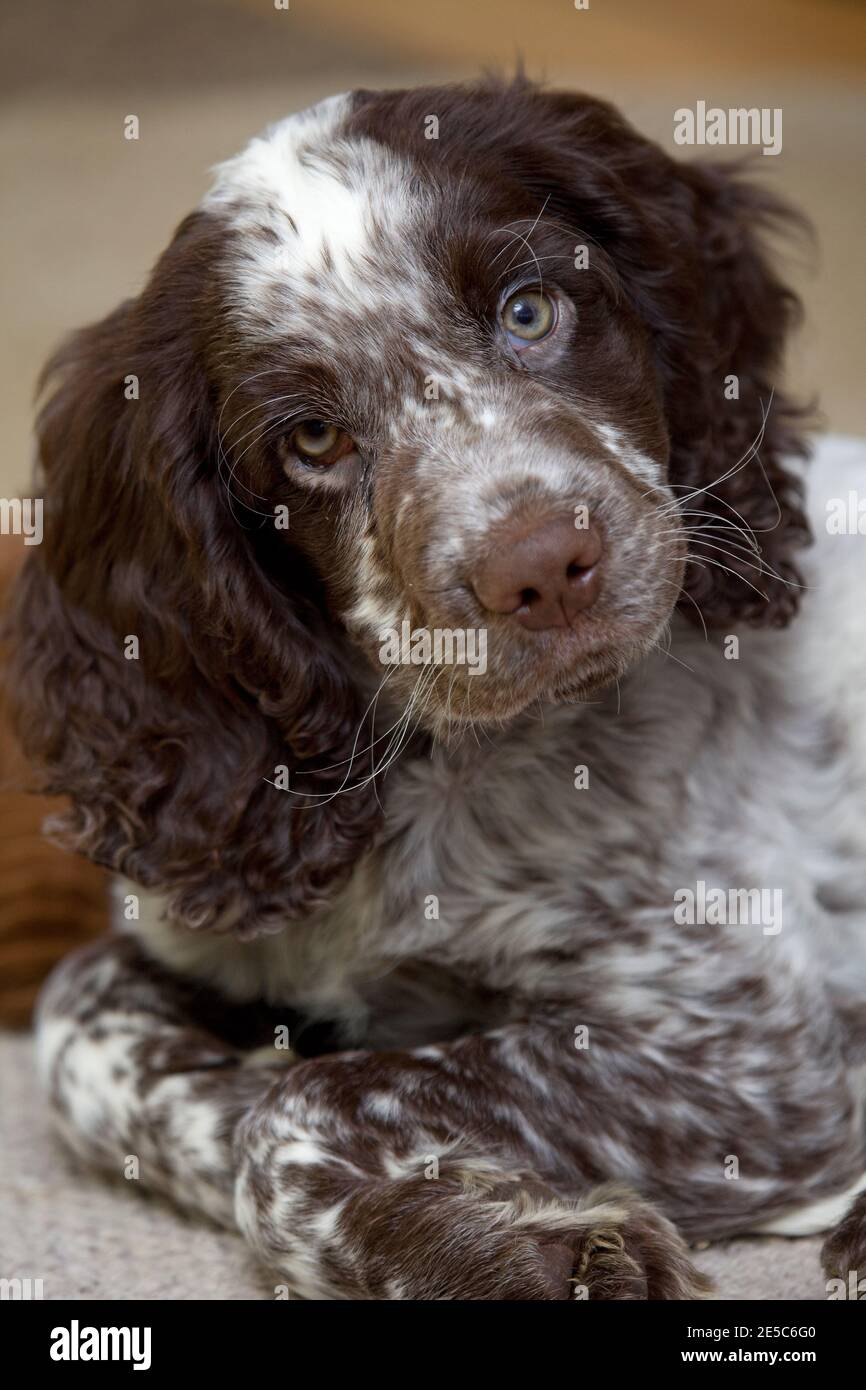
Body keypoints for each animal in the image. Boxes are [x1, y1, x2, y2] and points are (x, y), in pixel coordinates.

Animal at [6, 76, 866, 1295]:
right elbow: (86, 1029)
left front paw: (500, 1241)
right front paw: (496, 1219)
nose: (541, 568)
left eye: (528, 311)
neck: (439, 775)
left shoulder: (755, 1054)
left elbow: (302, 1105)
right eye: (313, 438)